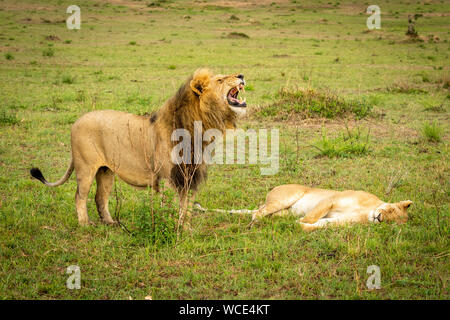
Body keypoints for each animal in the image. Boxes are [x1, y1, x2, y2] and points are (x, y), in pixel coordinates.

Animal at [29, 69, 248, 232]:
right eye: (220, 79)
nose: (241, 75)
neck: (199, 126)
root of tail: (76, 122)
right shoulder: (169, 178)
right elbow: (172, 207)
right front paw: (172, 229)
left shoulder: (191, 176)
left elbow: (186, 209)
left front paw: (185, 229)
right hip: (85, 167)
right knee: (80, 196)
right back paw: (85, 225)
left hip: (105, 171)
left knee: (100, 198)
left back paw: (111, 223)